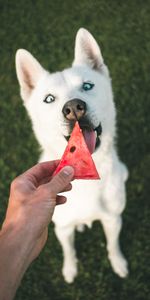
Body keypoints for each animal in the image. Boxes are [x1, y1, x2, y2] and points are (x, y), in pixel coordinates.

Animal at [15, 28, 129, 284]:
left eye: (87, 86)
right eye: (49, 98)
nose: (74, 107)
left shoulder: (113, 220)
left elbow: (113, 245)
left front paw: (118, 263)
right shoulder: (62, 228)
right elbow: (69, 251)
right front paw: (70, 270)